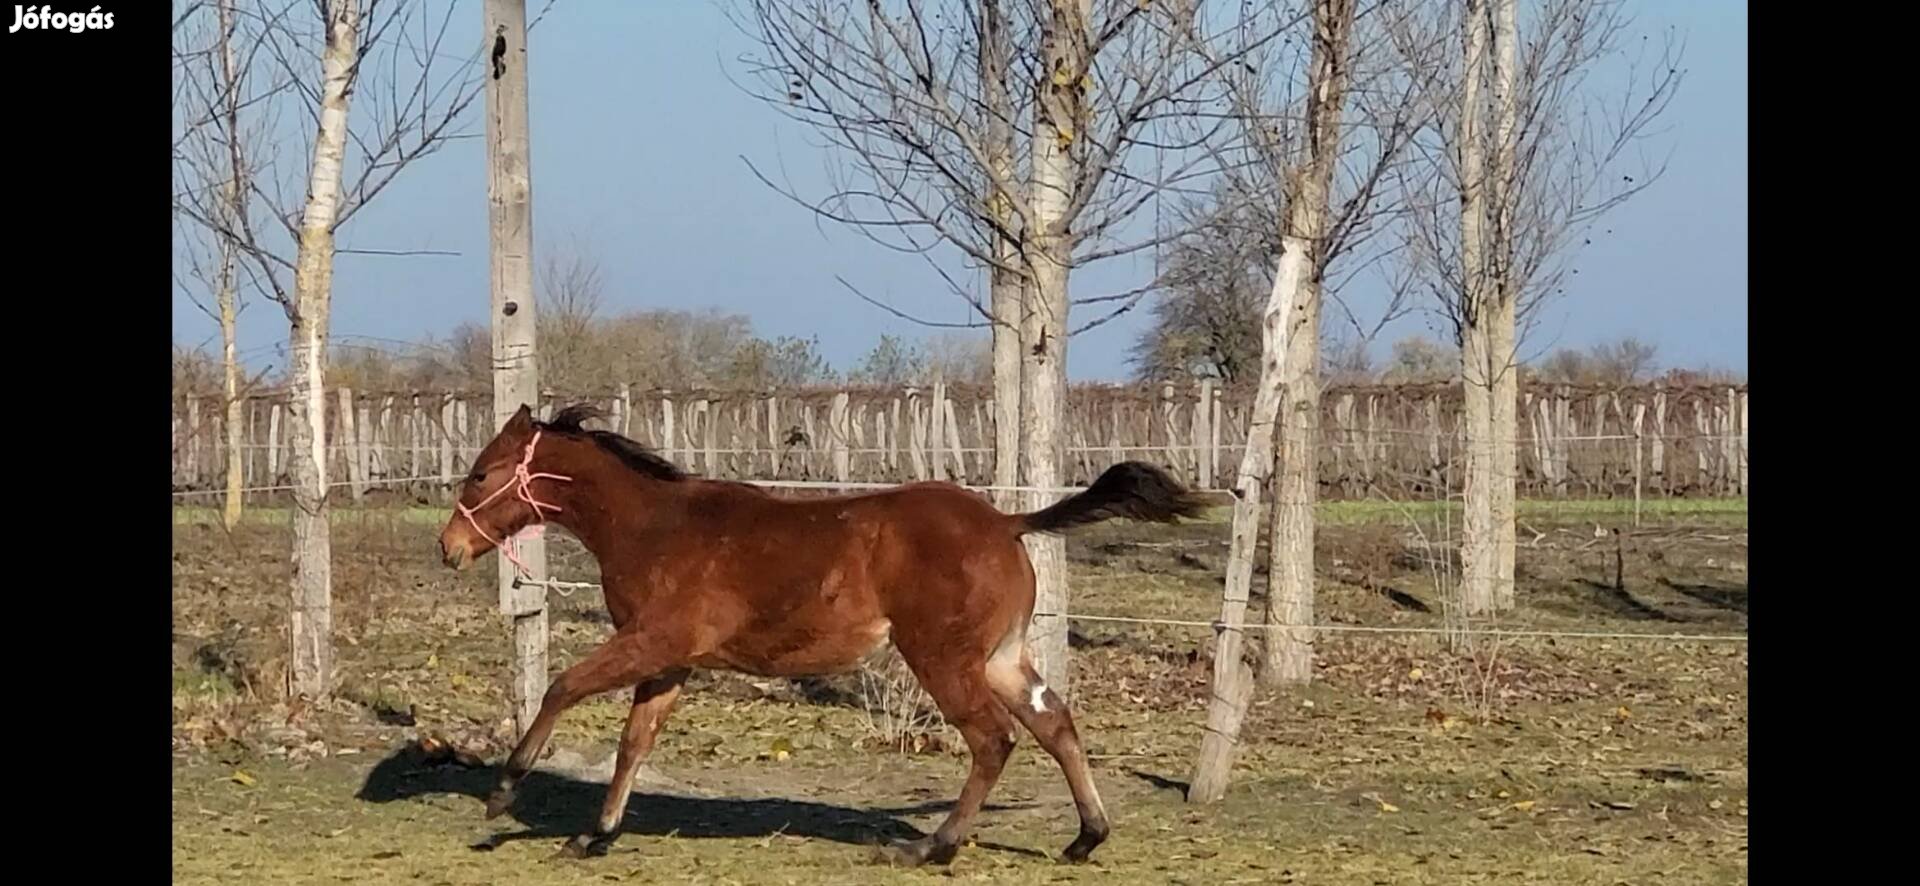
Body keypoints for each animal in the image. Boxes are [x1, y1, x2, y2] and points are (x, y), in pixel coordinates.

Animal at [441, 403, 1205, 861]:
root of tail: (1007, 522)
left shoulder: (652, 642)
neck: (655, 528)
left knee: (994, 739)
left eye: (479, 472)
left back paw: (933, 846)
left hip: (942, 658)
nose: (449, 548)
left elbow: (563, 687)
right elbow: (634, 743)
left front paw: (503, 792)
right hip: (1002, 657)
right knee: (1056, 725)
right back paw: (1086, 837)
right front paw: (594, 836)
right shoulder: (672, 662)